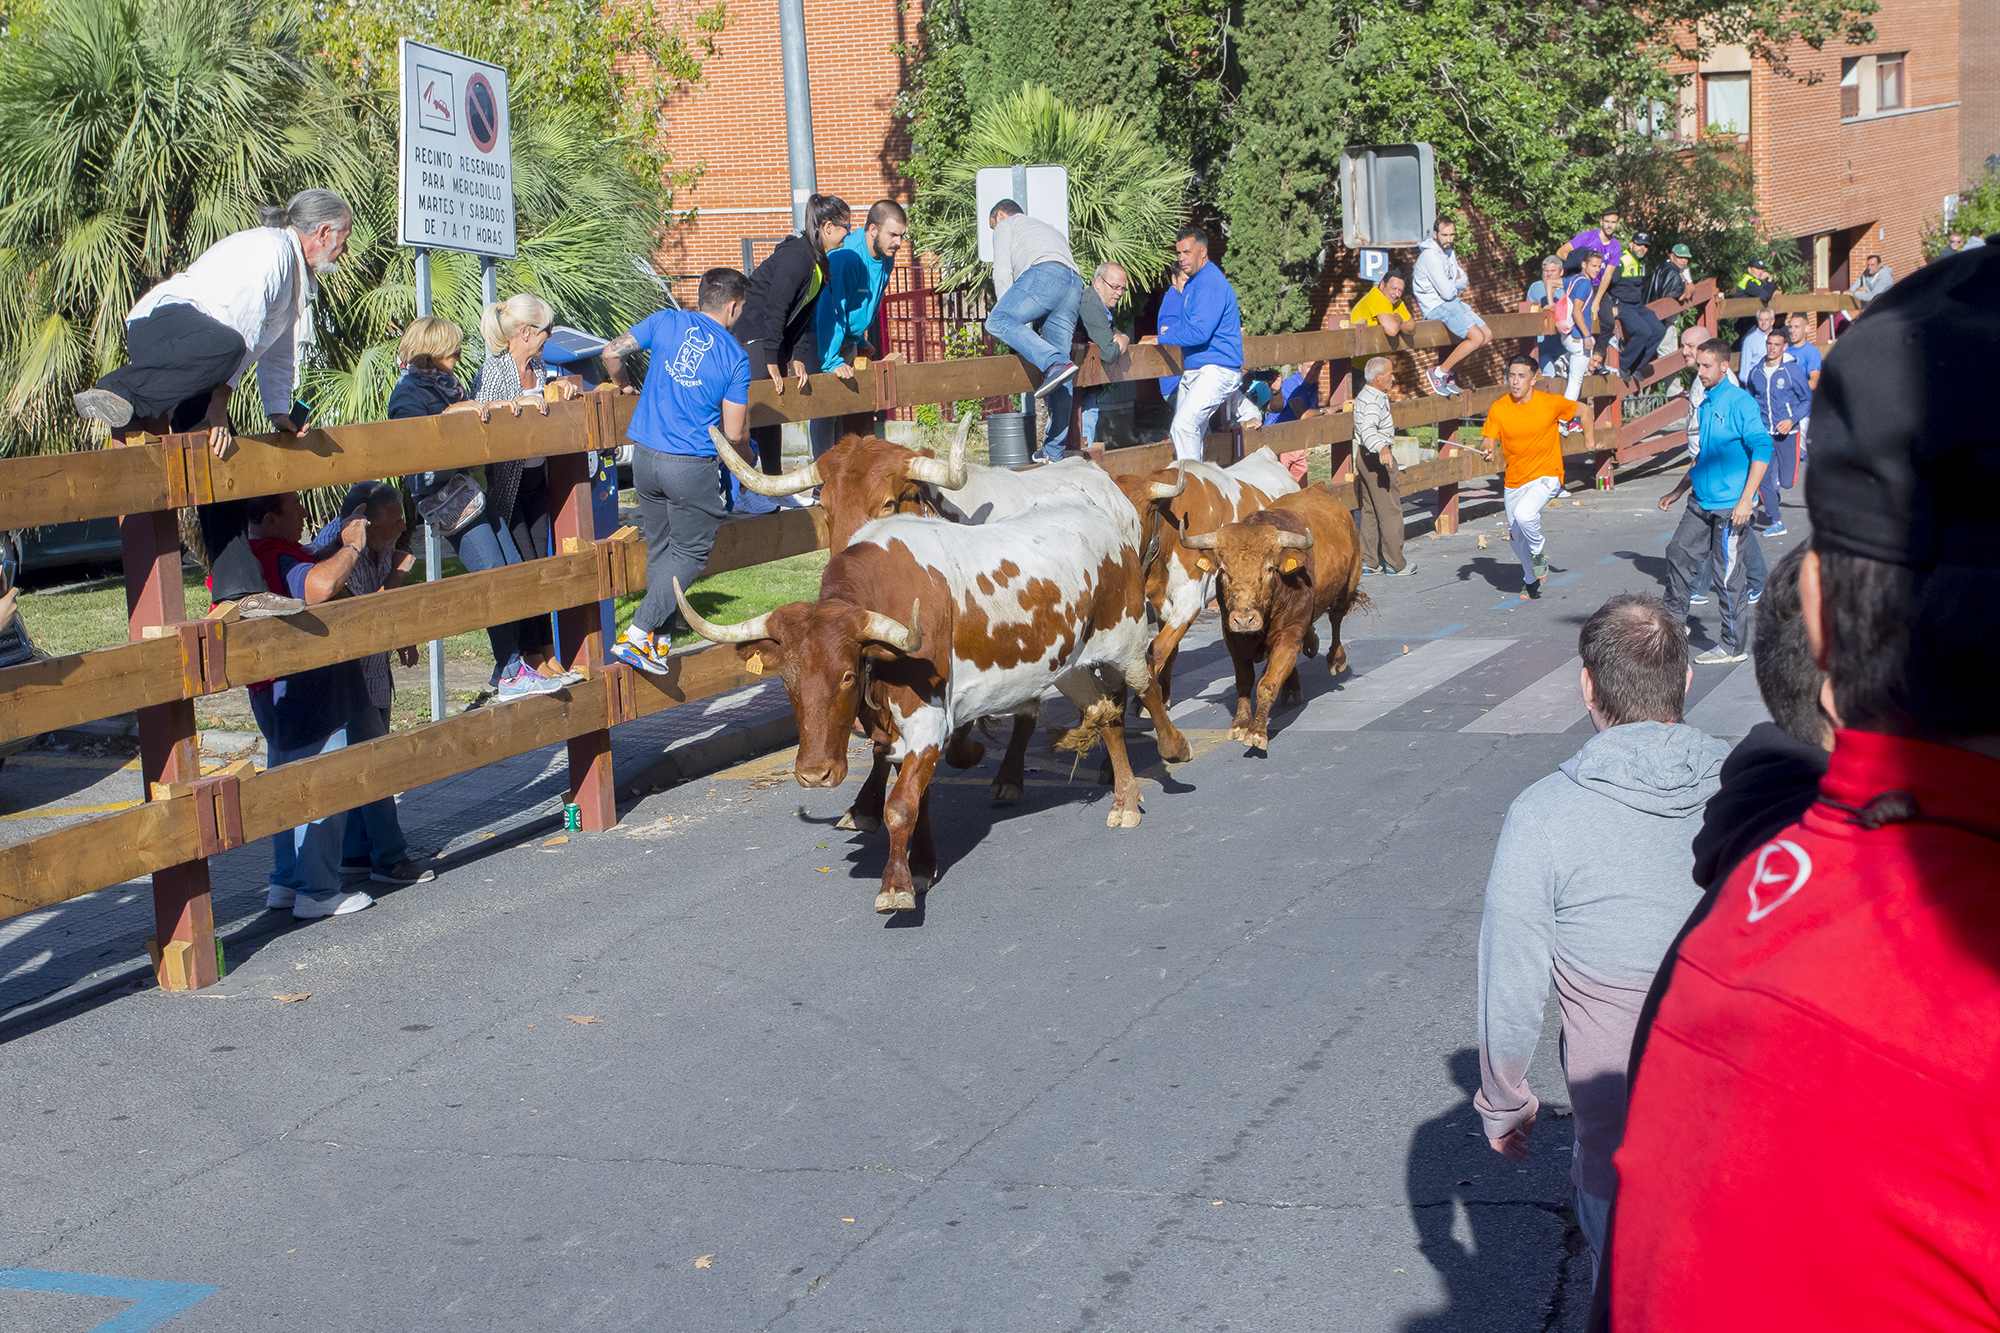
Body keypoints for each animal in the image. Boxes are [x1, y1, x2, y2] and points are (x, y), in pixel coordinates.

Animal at [680, 486, 1168, 912]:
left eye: (846, 675)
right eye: (787, 681)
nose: (815, 774)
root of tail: (1095, 508)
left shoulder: (926, 721)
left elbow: (900, 806)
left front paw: (895, 885)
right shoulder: (899, 733)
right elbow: (919, 798)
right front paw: (921, 866)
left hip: (1124, 639)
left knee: (1144, 689)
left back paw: (1157, 767)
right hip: (1068, 663)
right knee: (1104, 712)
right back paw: (1117, 792)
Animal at [1176, 480, 1368, 752]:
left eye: (1268, 569)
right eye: (1223, 570)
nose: (1244, 620)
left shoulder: (1289, 635)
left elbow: (1267, 683)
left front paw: (1257, 732)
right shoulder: (1231, 637)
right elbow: (1245, 680)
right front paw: (1240, 724)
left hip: (1347, 585)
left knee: (1336, 619)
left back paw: (1335, 658)